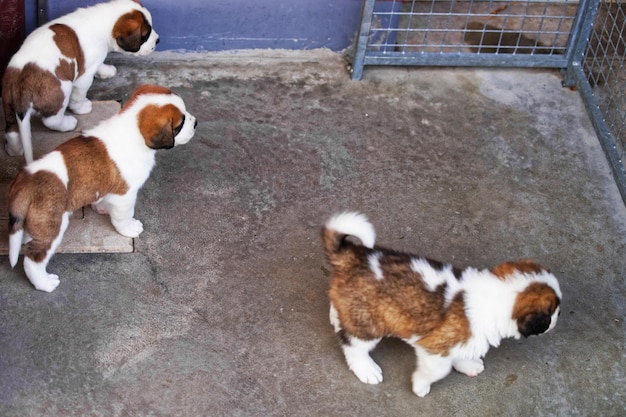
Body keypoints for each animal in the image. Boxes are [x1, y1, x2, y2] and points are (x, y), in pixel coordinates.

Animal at [3, 0, 158, 162]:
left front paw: (106, 70)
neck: (102, 21)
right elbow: (79, 94)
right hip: (62, 89)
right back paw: (68, 124)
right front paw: (81, 107)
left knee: (11, 131)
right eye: (145, 35)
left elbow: (99, 64)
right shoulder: (84, 77)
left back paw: (13, 149)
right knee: (51, 120)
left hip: (8, 102)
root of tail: (22, 82)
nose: (158, 40)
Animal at [6, 84, 195, 292]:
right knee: (33, 260)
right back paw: (45, 283)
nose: (195, 123)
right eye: (179, 125)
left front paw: (102, 208)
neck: (132, 128)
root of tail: (25, 181)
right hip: (52, 225)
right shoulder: (125, 196)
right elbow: (124, 216)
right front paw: (128, 228)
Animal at [322, 211, 560, 396]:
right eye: (552, 311)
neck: (498, 295)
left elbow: (462, 354)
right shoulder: (435, 349)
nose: (556, 321)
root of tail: (349, 255)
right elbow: (438, 370)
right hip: (369, 322)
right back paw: (366, 369)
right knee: (354, 346)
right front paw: (420, 386)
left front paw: (468, 364)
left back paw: (335, 318)